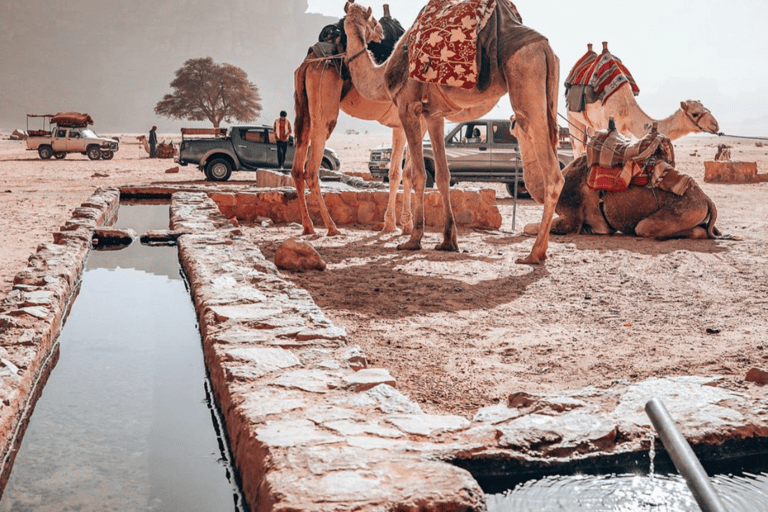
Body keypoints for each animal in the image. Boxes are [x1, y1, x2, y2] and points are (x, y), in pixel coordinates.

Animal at [344, 0, 560, 264]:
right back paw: (541, 251)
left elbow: (418, 175)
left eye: (372, 21)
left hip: (527, 82)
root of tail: (546, 49)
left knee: (553, 175)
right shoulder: (434, 115)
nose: (378, 34)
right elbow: (443, 176)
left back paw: (534, 254)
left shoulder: (408, 108)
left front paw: (413, 239)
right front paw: (448, 241)